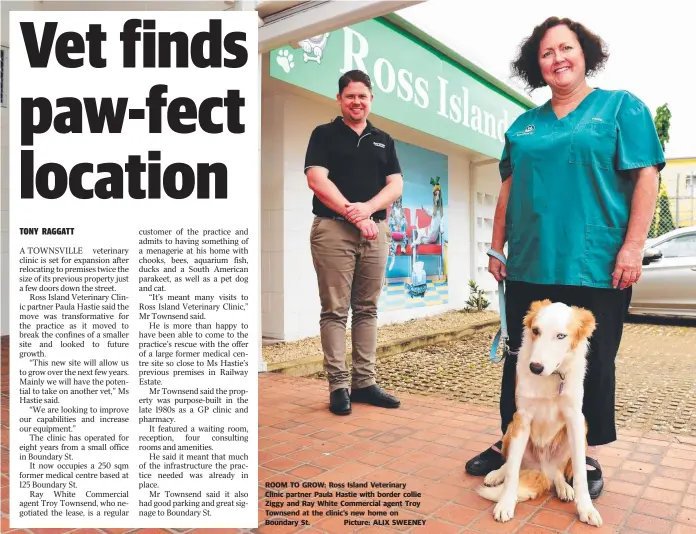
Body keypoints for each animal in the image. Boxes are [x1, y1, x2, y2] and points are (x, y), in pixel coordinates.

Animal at [478, 300, 604, 528]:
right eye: (536, 331)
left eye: (561, 336)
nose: (535, 368)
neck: (553, 376)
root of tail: (543, 470)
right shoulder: (522, 418)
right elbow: (512, 471)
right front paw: (505, 503)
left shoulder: (575, 420)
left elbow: (580, 472)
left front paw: (586, 509)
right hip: (511, 428)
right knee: (511, 463)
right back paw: (496, 474)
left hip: (579, 434)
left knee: (559, 473)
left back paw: (563, 487)